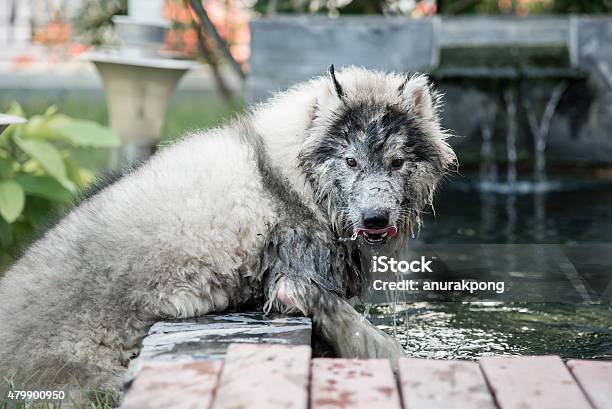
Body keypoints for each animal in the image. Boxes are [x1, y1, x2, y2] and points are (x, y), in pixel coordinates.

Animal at [0, 66, 454, 396]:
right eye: (351, 162)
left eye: (396, 162)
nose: (375, 218)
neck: (289, 177)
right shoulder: (294, 284)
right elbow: (374, 341)